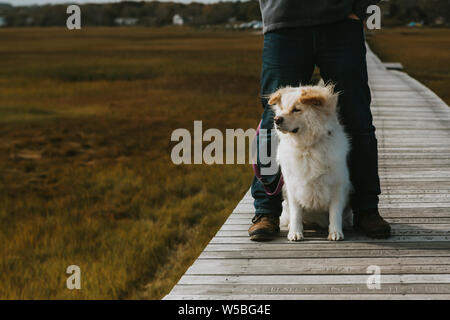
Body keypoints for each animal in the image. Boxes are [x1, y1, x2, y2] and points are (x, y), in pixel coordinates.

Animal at [268, 81, 352, 241]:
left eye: (296, 109)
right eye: (282, 109)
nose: (277, 120)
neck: (307, 147)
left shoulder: (337, 185)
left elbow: (335, 212)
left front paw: (335, 232)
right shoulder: (292, 186)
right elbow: (296, 213)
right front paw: (295, 232)